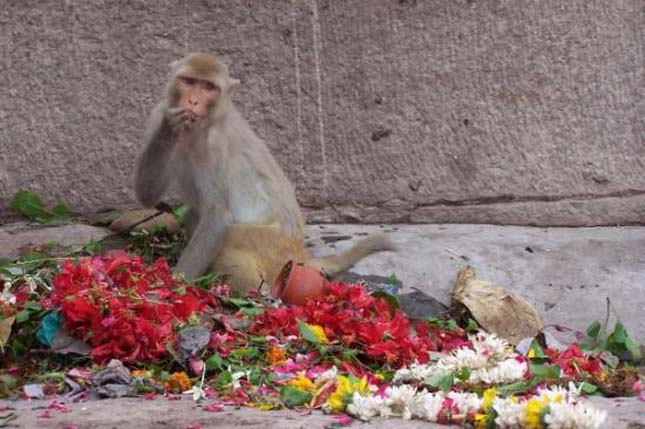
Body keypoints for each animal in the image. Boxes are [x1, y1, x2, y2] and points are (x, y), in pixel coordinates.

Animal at [133, 52, 394, 294]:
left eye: (208, 86)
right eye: (188, 81)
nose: (193, 100)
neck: (200, 128)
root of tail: (301, 252)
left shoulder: (215, 146)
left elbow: (218, 217)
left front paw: (176, 283)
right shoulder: (157, 114)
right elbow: (147, 193)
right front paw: (171, 126)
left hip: (274, 244)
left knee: (230, 237)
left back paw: (259, 295)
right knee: (194, 214)